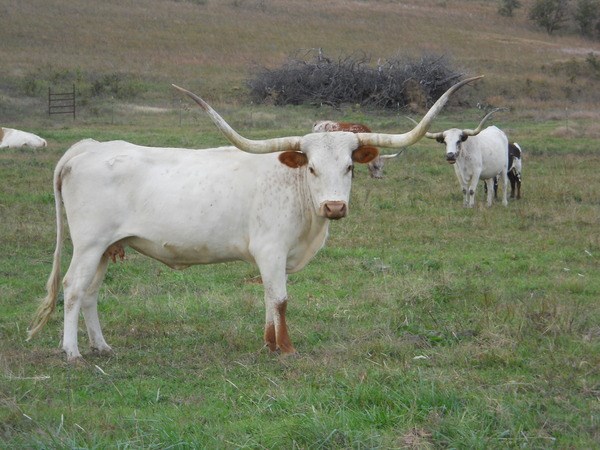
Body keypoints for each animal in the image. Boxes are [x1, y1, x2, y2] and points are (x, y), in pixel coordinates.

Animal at [27, 77, 481, 361]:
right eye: (311, 167)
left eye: (349, 167)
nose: (334, 207)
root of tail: (87, 147)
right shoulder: (271, 249)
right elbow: (280, 298)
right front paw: (287, 350)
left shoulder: (270, 256)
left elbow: (267, 297)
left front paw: (268, 345)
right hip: (88, 244)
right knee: (72, 289)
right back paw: (72, 353)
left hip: (107, 247)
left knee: (90, 293)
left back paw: (102, 347)